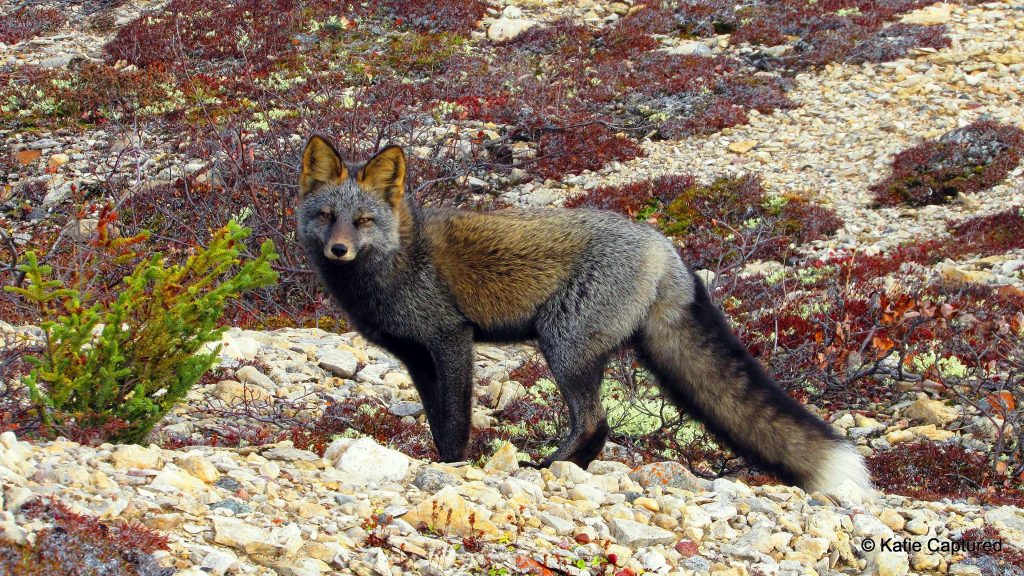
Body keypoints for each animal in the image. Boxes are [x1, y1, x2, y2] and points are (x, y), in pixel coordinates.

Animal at [296, 135, 872, 495]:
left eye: (363, 221)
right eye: (326, 216)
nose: (338, 251)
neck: (398, 261)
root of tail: (663, 244)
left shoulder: (451, 339)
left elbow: (456, 422)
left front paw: (454, 468)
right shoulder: (417, 358)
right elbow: (438, 423)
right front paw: (439, 461)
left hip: (563, 348)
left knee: (596, 422)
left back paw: (553, 466)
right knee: (598, 425)